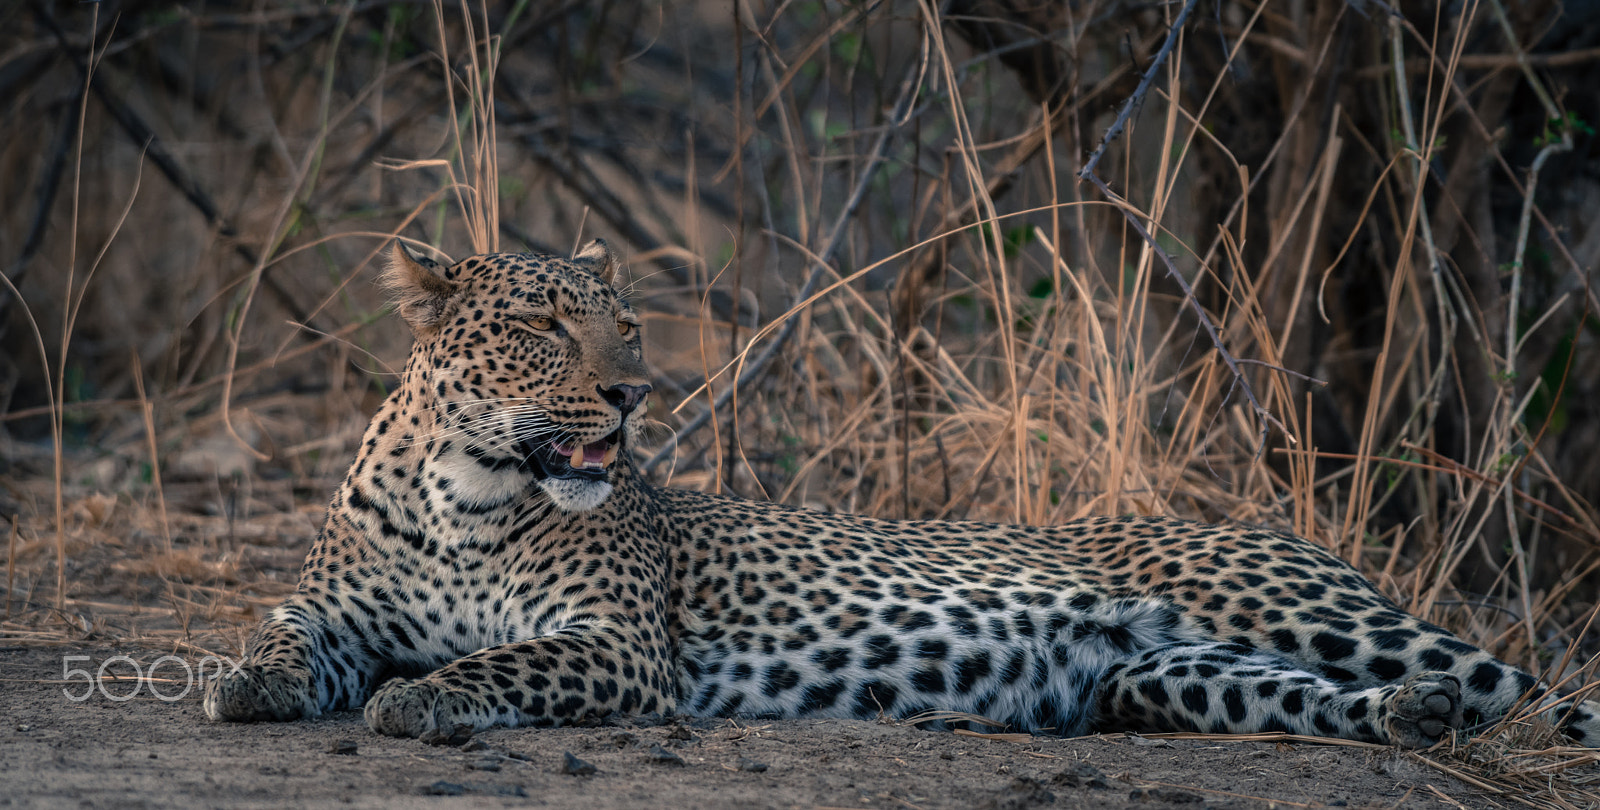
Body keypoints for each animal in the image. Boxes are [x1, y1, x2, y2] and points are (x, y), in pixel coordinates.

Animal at [206, 236, 1593, 749]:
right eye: (544, 325)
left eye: (626, 323)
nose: (633, 394)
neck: (466, 488)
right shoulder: (335, 609)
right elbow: (278, 631)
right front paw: (243, 684)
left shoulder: (616, 647)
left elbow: (494, 661)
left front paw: (420, 700)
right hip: (1176, 675)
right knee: (1331, 699)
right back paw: (1408, 720)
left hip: (1305, 610)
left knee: (1532, 690)